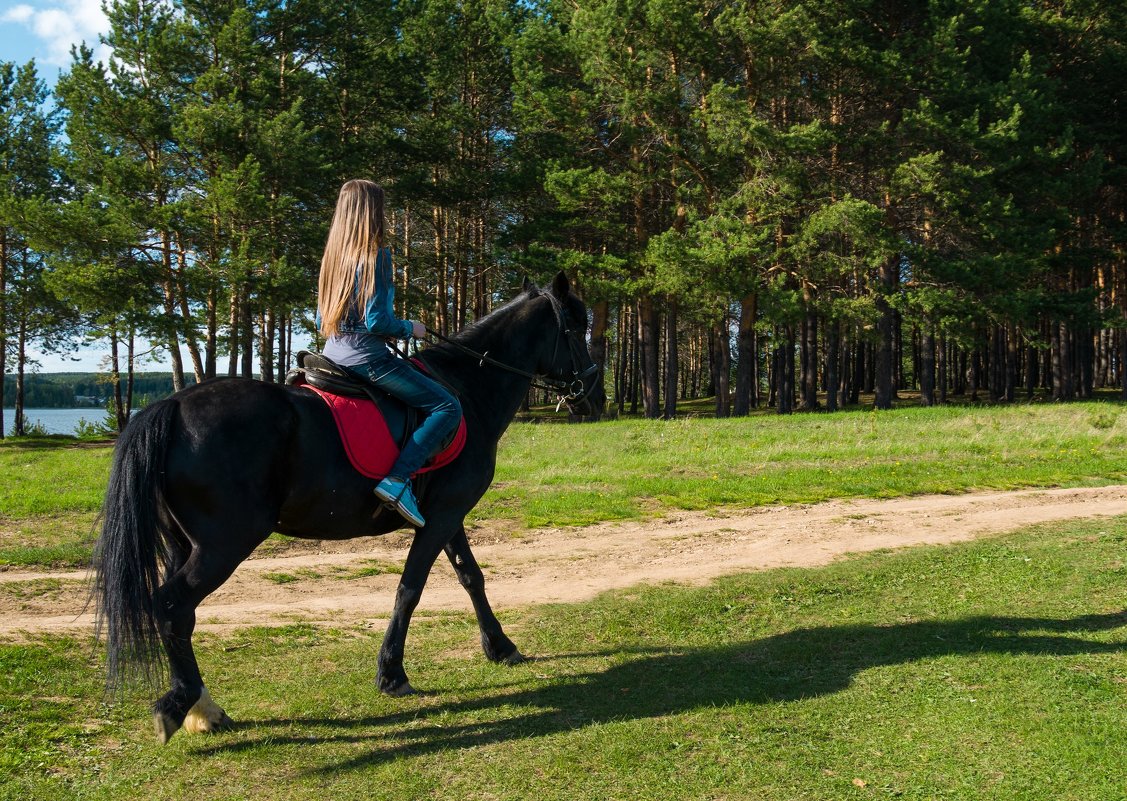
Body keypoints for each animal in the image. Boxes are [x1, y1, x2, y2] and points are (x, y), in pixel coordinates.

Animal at [94, 273, 608, 743]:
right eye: (575, 328)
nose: (596, 397)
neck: (468, 390)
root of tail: (173, 407)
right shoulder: (442, 517)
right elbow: (410, 589)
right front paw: (392, 673)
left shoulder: (449, 514)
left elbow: (470, 577)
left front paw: (500, 647)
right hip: (224, 544)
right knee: (172, 606)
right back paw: (184, 705)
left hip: (183, 543)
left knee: (177, 617)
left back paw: (202, 708)